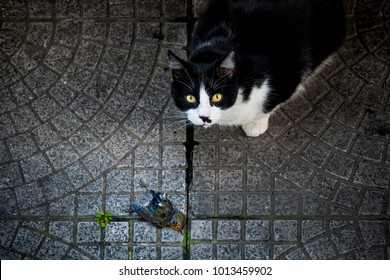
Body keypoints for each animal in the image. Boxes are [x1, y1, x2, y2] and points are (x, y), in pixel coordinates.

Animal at [168, 0, 344, 137]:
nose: (204, 118)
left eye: (217, 97)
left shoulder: (288, 76)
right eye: (190, 98)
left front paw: (256, 123)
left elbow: (271, 102)